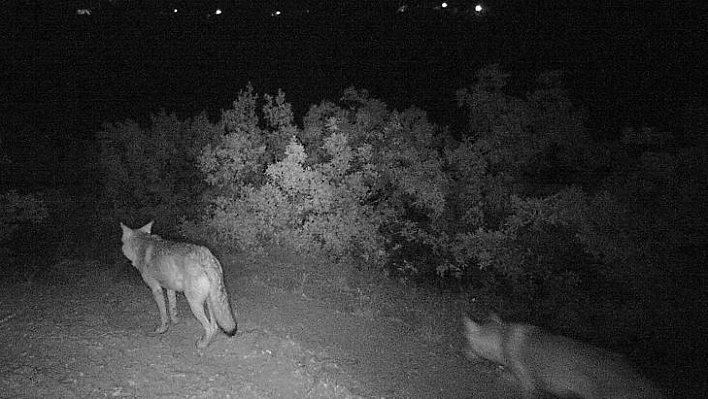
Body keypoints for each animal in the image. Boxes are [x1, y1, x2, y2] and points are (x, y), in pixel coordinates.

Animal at [121, 220, 238, 348]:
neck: (142, 243)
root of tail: (206, 257)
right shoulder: (170, 289)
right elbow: (172, 308)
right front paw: (175, 321)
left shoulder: (156, 289)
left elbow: (163, 313)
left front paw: (162, 329)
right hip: (210, 301)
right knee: (215, 326)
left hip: (194, 304)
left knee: (209, 328)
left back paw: (202, 344)